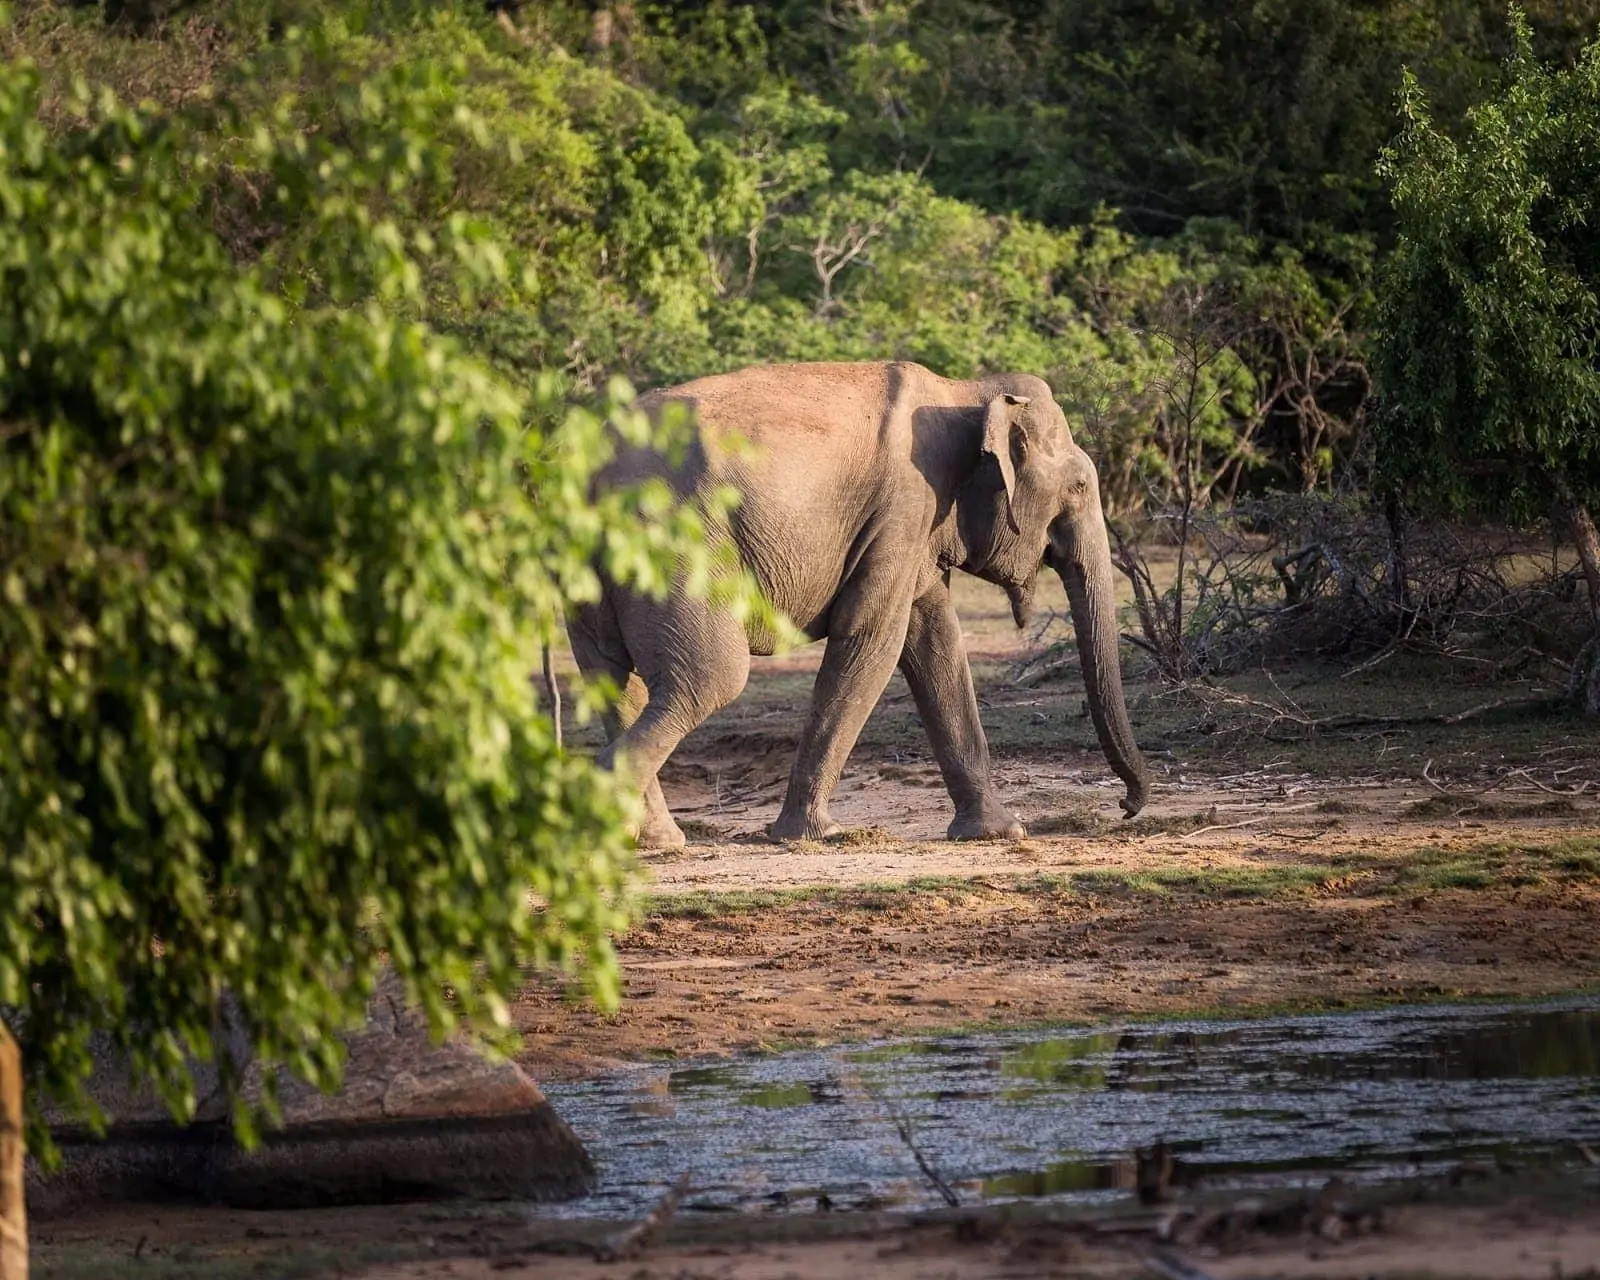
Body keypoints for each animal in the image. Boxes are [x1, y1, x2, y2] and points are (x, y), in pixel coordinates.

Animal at [566, 360, 1149, 847]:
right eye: (1079, 487)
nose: (1126, 806)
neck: (964, 391)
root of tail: (587, 477)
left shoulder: (919, 524)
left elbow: (932, 637)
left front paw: (1000, 833)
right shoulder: (904, 505)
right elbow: (873, 635)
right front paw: (812, 836)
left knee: (613, 680)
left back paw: (656, 841)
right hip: (672, 547)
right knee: (710, 678)